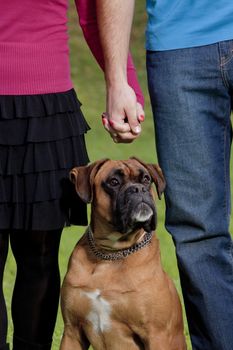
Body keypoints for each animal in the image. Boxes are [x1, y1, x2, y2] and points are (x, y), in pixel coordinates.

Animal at [59, 159, 186, 350]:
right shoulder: (72, 331)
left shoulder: (157, 335)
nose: (138, 189)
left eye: (146, 179)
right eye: (114, 182)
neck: (110, 254)